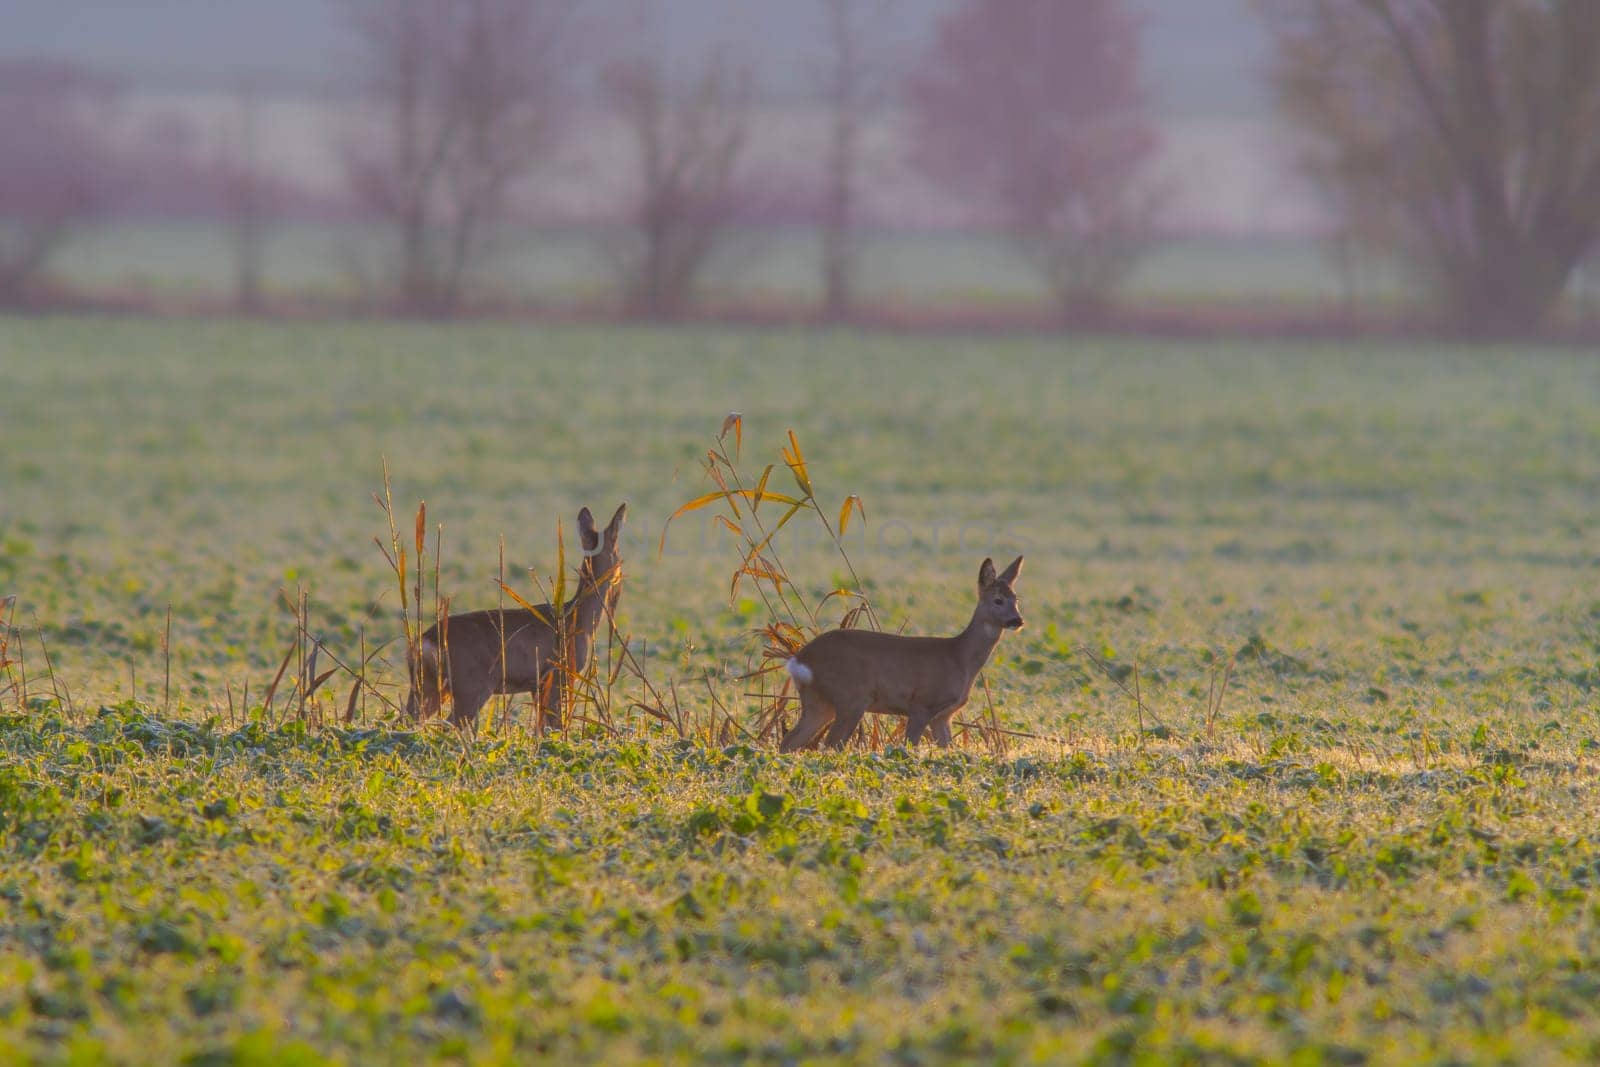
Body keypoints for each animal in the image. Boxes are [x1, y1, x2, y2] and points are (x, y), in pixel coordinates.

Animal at [400, 505, 624, 729]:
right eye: (618, 552)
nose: (619, 575)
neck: (578, 619)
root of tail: (426, 641)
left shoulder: (539, 684)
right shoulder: (558, 674)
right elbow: (556, 725)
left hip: (426, 686)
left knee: (406, 719)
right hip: (471, 686)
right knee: (450, 724)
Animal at [777, 559, 1024, 751]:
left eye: (1016, 600)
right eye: (998, 600)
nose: (1017, 620)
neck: (959, 657)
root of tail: (800, 660)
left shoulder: (943, 715)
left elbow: (949, 749)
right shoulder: (921, 703)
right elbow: (909, 746)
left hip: (818, 702)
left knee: (789, 742)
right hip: (851, 696)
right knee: (831, 744)